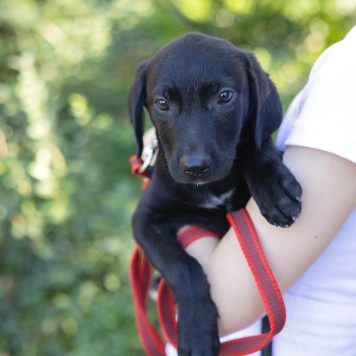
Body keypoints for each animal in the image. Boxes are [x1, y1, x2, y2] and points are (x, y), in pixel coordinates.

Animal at [128, 32, 300, 354]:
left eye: (224, 96)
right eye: (162, 103)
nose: (195, 167)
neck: (211, 189)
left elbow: (257, 145)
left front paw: (274, 188)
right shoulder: (144, 220)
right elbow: (182, 266)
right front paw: (196, 330)